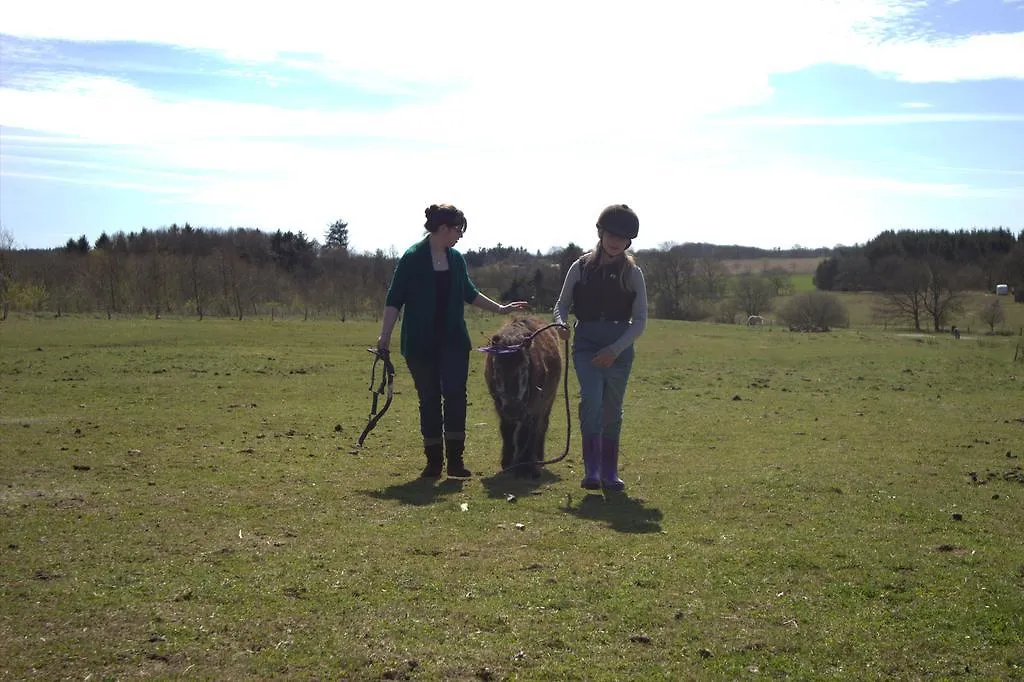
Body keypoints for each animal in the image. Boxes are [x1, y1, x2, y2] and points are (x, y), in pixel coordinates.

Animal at [483, 315, 565, 475]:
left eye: (523, 368)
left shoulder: (534, 408)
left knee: (541, 427)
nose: (513, 409)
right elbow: (507, 430)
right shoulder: (500, 408)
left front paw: (525, 466)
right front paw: (508, 462)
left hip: (547, 402)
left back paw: (537, 457)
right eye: (498, 368)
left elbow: (527, 432)